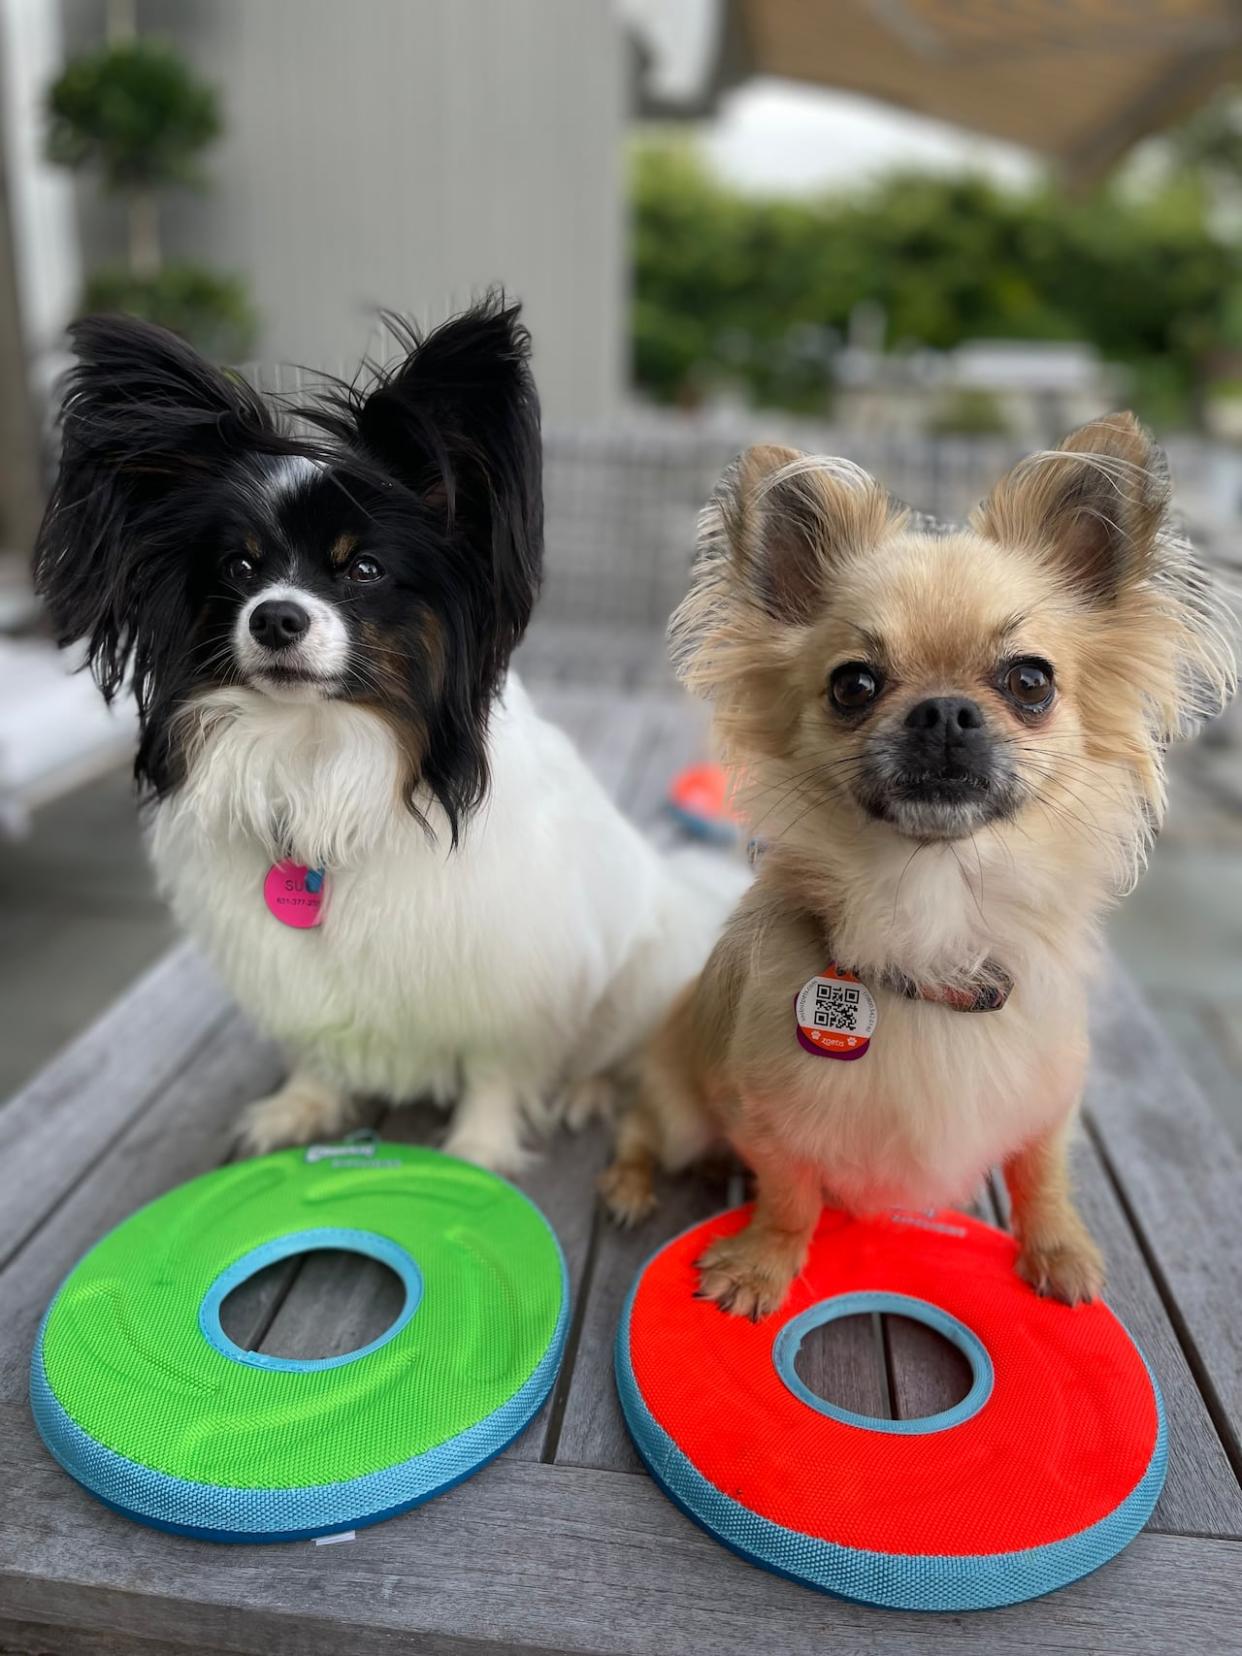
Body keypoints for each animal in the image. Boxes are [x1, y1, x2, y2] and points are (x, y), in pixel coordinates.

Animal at [36, 298, 738, 1172]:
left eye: (363, 570)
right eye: (239, 568)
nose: (275, 617)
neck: (317, 752)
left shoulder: (512, 966)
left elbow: (497, 1068)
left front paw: (478, 1149)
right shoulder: (293, 969)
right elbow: (317, 1045)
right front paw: (304, 1105)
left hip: (645, 969)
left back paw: (589, 1089)